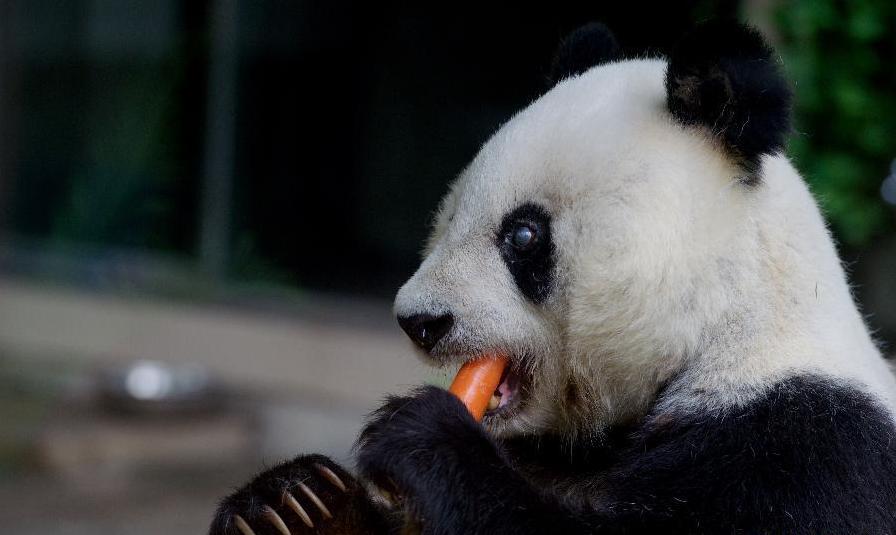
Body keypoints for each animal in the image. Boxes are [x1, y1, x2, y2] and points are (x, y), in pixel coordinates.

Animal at [210, 21, 896, 535]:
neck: (723, 324)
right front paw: (294, 503)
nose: (420, 320)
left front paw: (418, 435)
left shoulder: (807, 452)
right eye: (450, 217)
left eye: (522, 236)